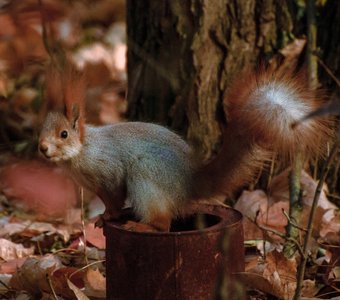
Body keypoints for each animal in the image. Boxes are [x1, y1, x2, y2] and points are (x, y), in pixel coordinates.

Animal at [38, 64, 330, 231]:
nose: (42, 148)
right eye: (40, 129)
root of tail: (192, 182)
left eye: (63, 134)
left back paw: (141, 227)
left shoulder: (109, 172)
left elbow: (115, 198)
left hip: (146, 175)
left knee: (163, 223)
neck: (83, 150)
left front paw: (109, 216)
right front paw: (104, 217)